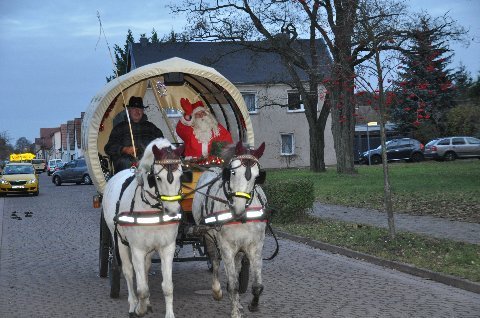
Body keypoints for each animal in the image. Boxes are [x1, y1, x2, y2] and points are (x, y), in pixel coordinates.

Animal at [102, 139, 184, 318]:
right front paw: (139, 308)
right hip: (119, 240)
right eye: (158, 177)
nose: (173, 211)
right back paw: (133, 304)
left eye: (181, 176)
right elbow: (141, 288)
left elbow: (167, 286)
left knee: (145, 269)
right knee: (128, 271)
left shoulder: (167, 247)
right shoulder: (137, 249)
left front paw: (168, 313)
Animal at [191, 142, 266, 318]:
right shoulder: (226, 247)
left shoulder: (255, 246)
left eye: (257, 176)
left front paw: (252, 305)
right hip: (209, 236)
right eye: (232, 172)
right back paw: (217, 291)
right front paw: (235, 312)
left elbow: (256, 285)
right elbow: (232, 284)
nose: (238, 208)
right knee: (215, 261)